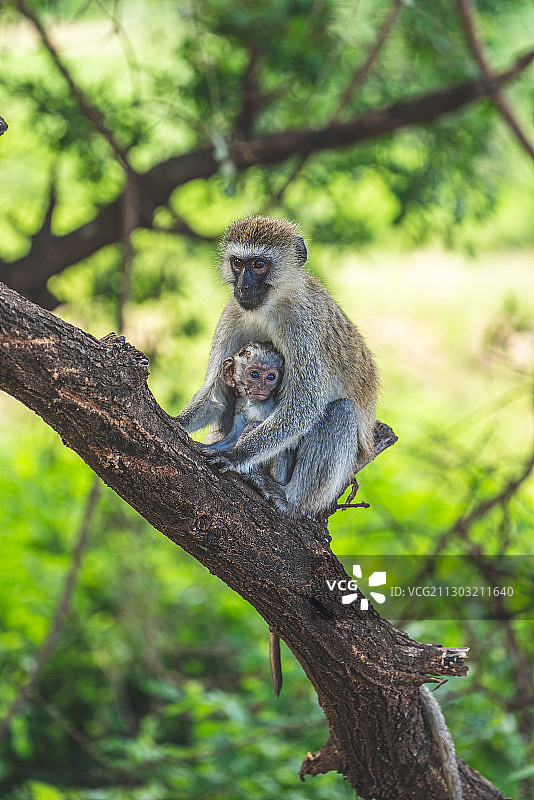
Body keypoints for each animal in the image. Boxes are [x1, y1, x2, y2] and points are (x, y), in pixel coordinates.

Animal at [178, 216, 378, 516]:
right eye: (238, 263)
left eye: (259, 264)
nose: (243, 287)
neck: (269, 307)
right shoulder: (233, 312)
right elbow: (218, 391)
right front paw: (177, 422)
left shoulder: (301, 327)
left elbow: (304, 405)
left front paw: (236, 455)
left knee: (340, 412)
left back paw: (289, 499)